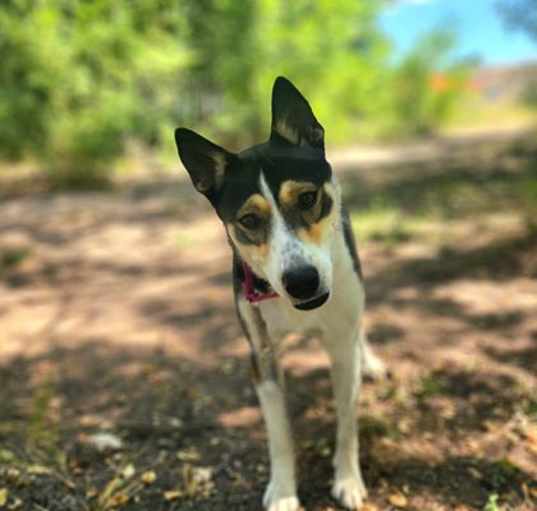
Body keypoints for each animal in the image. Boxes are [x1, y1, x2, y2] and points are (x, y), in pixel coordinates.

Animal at [175, 77, 386, 511]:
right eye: (249, 220)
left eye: (307, 198)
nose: (302, 280)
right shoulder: (263, 358)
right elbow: (279, 436)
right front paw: (285, 492)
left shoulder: (341, 346)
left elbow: (347, 420)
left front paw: (348, 479)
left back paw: (370, 360)